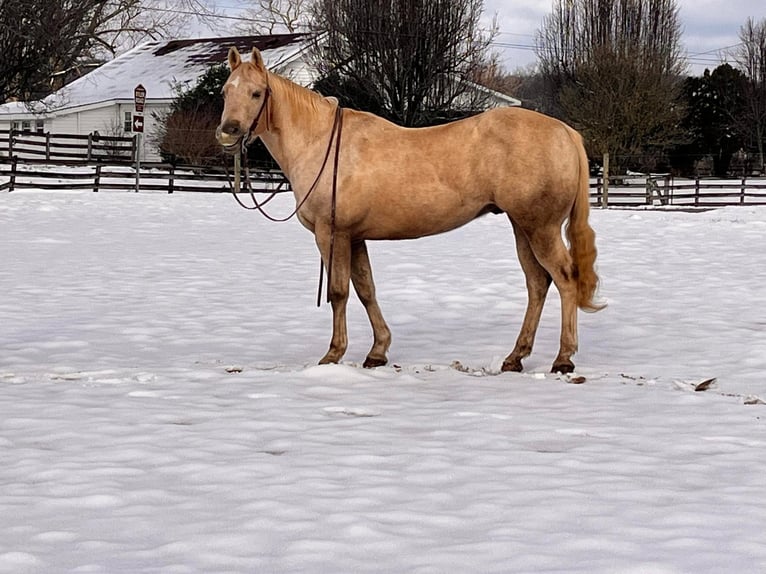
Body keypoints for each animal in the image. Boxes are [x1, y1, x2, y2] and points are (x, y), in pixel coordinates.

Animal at [216, 46, 603, 374]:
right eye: (224, 91)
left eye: (256, 93)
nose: (228, 133)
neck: (320, 142)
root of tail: (565, 132)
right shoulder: (355, 238)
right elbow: (366, 289)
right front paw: (377, 351)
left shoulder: (332, 234)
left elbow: (339, 293)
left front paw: (333, 354)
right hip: (522, 226)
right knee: (538, 284)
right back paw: (515, 357)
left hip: (541, 228)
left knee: (565, 279)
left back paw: (563, 359)